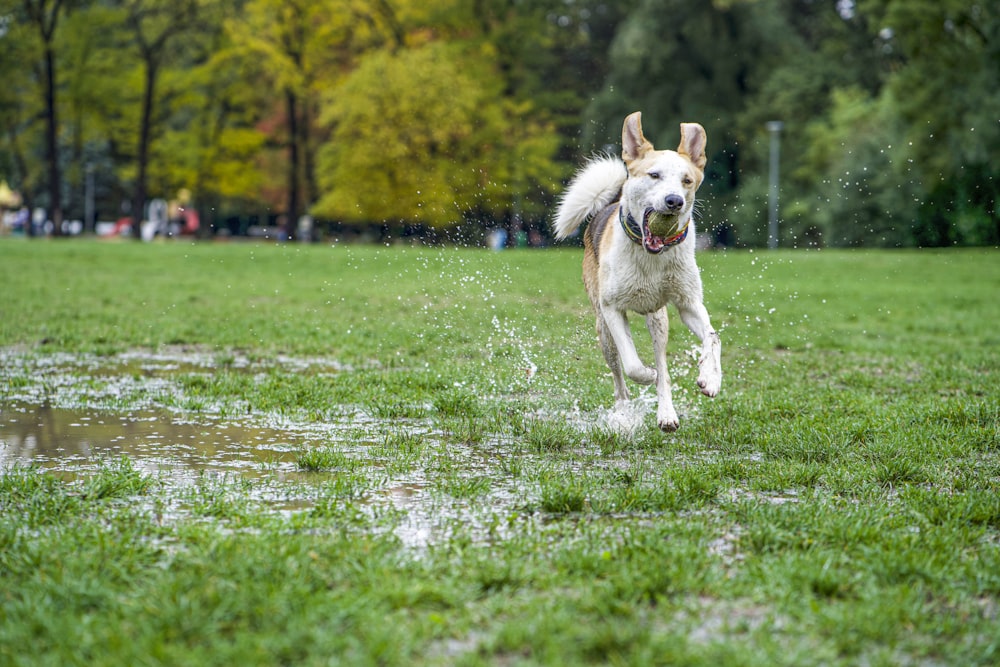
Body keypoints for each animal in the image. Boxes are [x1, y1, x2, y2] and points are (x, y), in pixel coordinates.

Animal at [556, 111, 720, 434]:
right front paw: (646, 374)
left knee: (663, 365)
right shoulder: (612, 309)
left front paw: (711, 378)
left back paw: (666, 413)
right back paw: (622, 412)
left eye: (687, 180)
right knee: (619, 378)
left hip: (658, 319)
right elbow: (632, 365)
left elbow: (712, 337)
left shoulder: (689, 304)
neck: (651, 257)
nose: (674, 201)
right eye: (653, 175)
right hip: (603, 330)